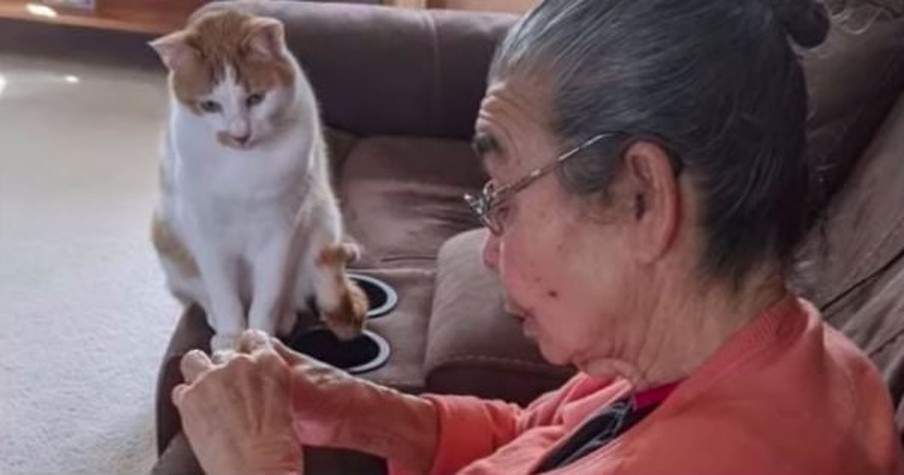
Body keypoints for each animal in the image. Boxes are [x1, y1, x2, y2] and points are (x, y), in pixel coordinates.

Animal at [150, 8, 366, 354]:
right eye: (209, 105)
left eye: (255, 99)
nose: (239, 134)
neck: (243, 166)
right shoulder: (208, 233)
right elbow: (223, 294)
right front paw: (232, 339)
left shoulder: (279, 230)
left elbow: (269, 294)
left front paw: (261, 339)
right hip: (165, 237)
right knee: (202, 293)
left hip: (323, 220)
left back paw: (285, 317)